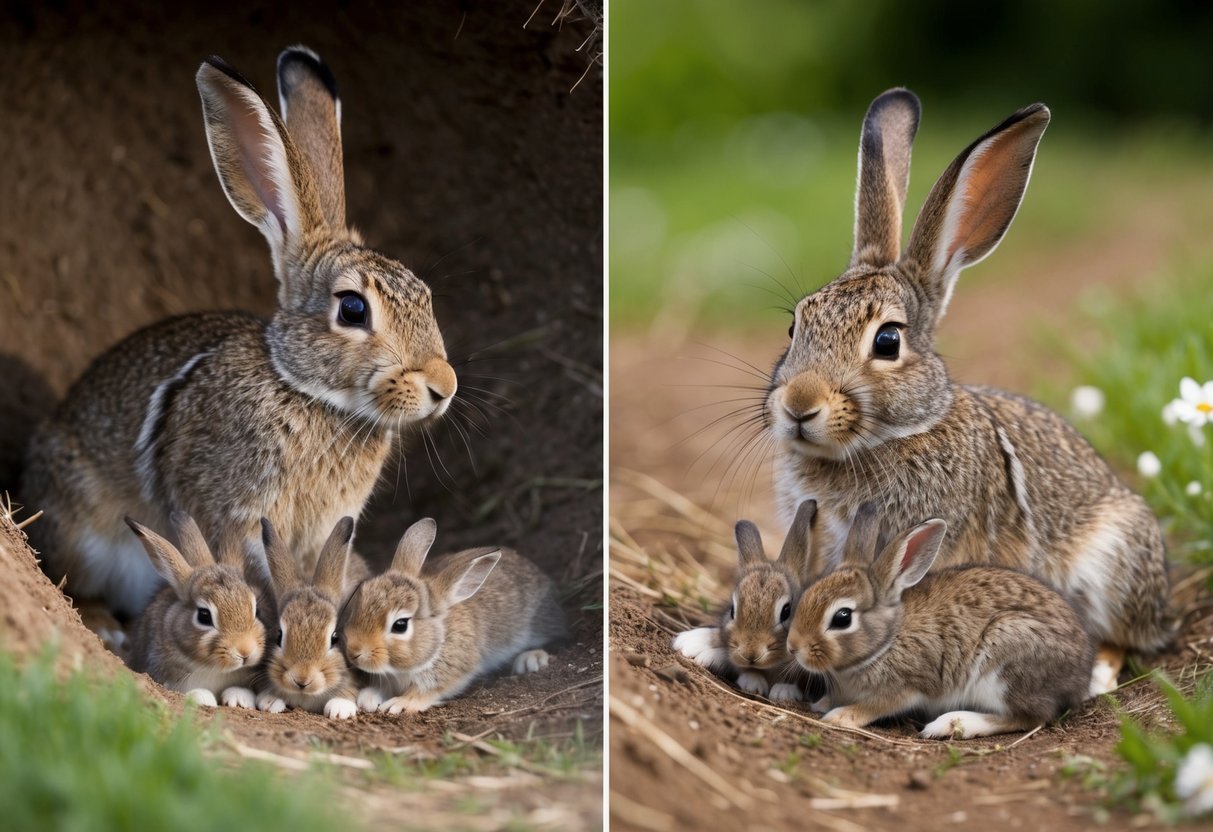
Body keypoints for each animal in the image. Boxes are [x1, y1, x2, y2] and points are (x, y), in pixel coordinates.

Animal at [20, 46, 456, 631]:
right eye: (353, 308)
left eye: (426, 297)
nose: (443, 386)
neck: (306, 390)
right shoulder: (236, 513)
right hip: (82, 526)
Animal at [124, 511, 265, 709]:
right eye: (204, 616)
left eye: (257, 610)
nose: (245, 651)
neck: (214, 669)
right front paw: (204, 698)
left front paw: (239, 699)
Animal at [341, 517, 567, 714]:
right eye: (360, 597)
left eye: (400, 625)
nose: (354, 652)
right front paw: (369, 697)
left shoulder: (455, 667)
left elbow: (426, 691)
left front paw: (400, 704)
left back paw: (531, 658)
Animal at [763, 87, 1172, 693]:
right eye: (795, 326)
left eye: (887, 341)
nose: (798, 406)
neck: (898, 434)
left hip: (1112, 566)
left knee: (1123, 636)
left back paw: (1098, 673)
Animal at [786, 506, 1095, 739]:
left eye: (842, 617)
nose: (793, 647)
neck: (886, 642)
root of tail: (1080, 677)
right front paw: (822, 703)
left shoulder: (906, 685)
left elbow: (876, 706)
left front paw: (839, 716)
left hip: (1005, 660)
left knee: (1028, 718)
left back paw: (950, 724)